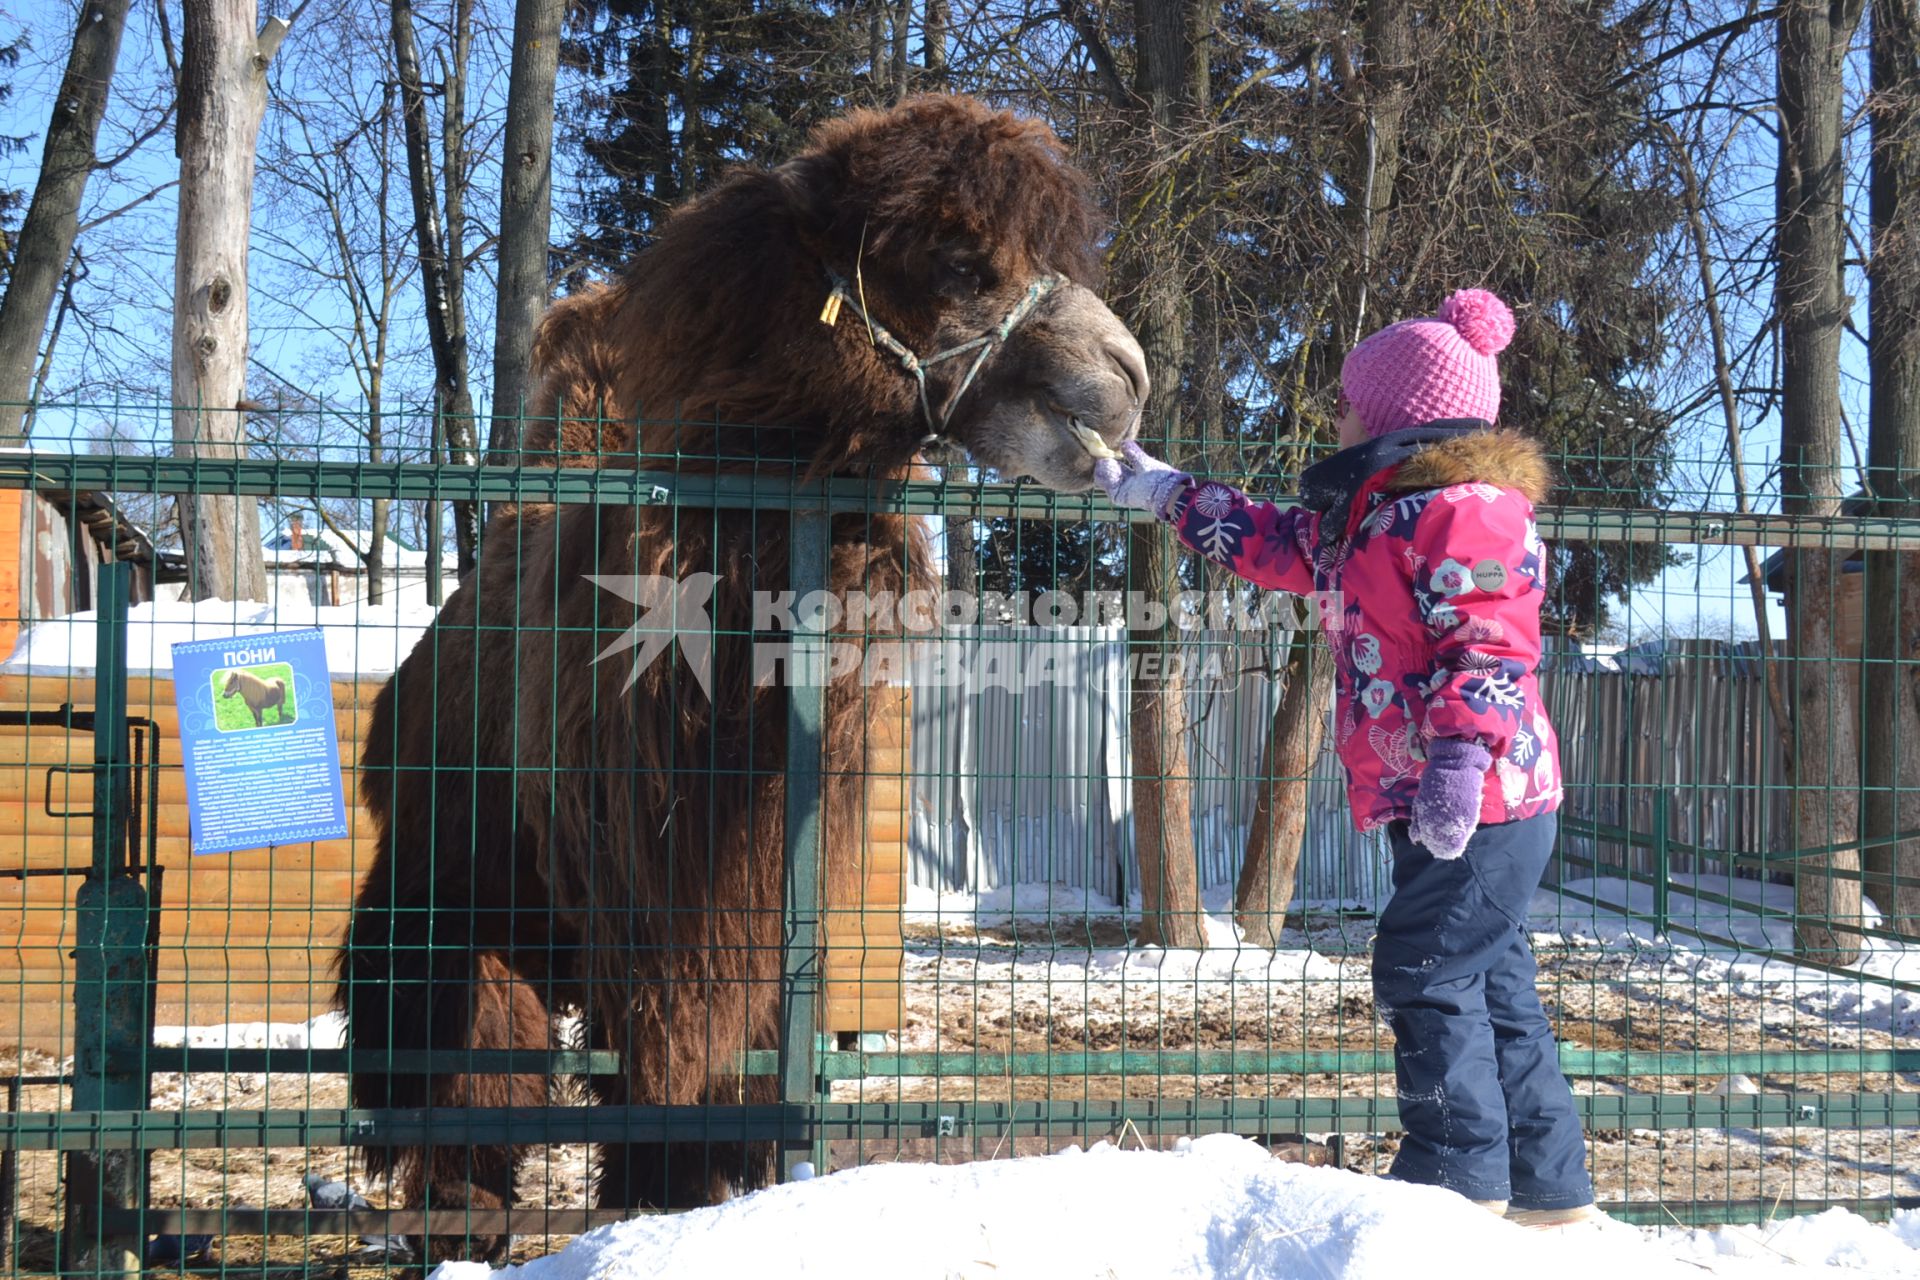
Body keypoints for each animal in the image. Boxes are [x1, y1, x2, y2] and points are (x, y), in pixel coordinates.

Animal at [336, 97, 1144, 1258]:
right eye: (959, 258)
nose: (1127, 378)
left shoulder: (743, 922)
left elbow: (716, 1099)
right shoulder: (631, 909)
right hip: (447, 892)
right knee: (463, 1068)